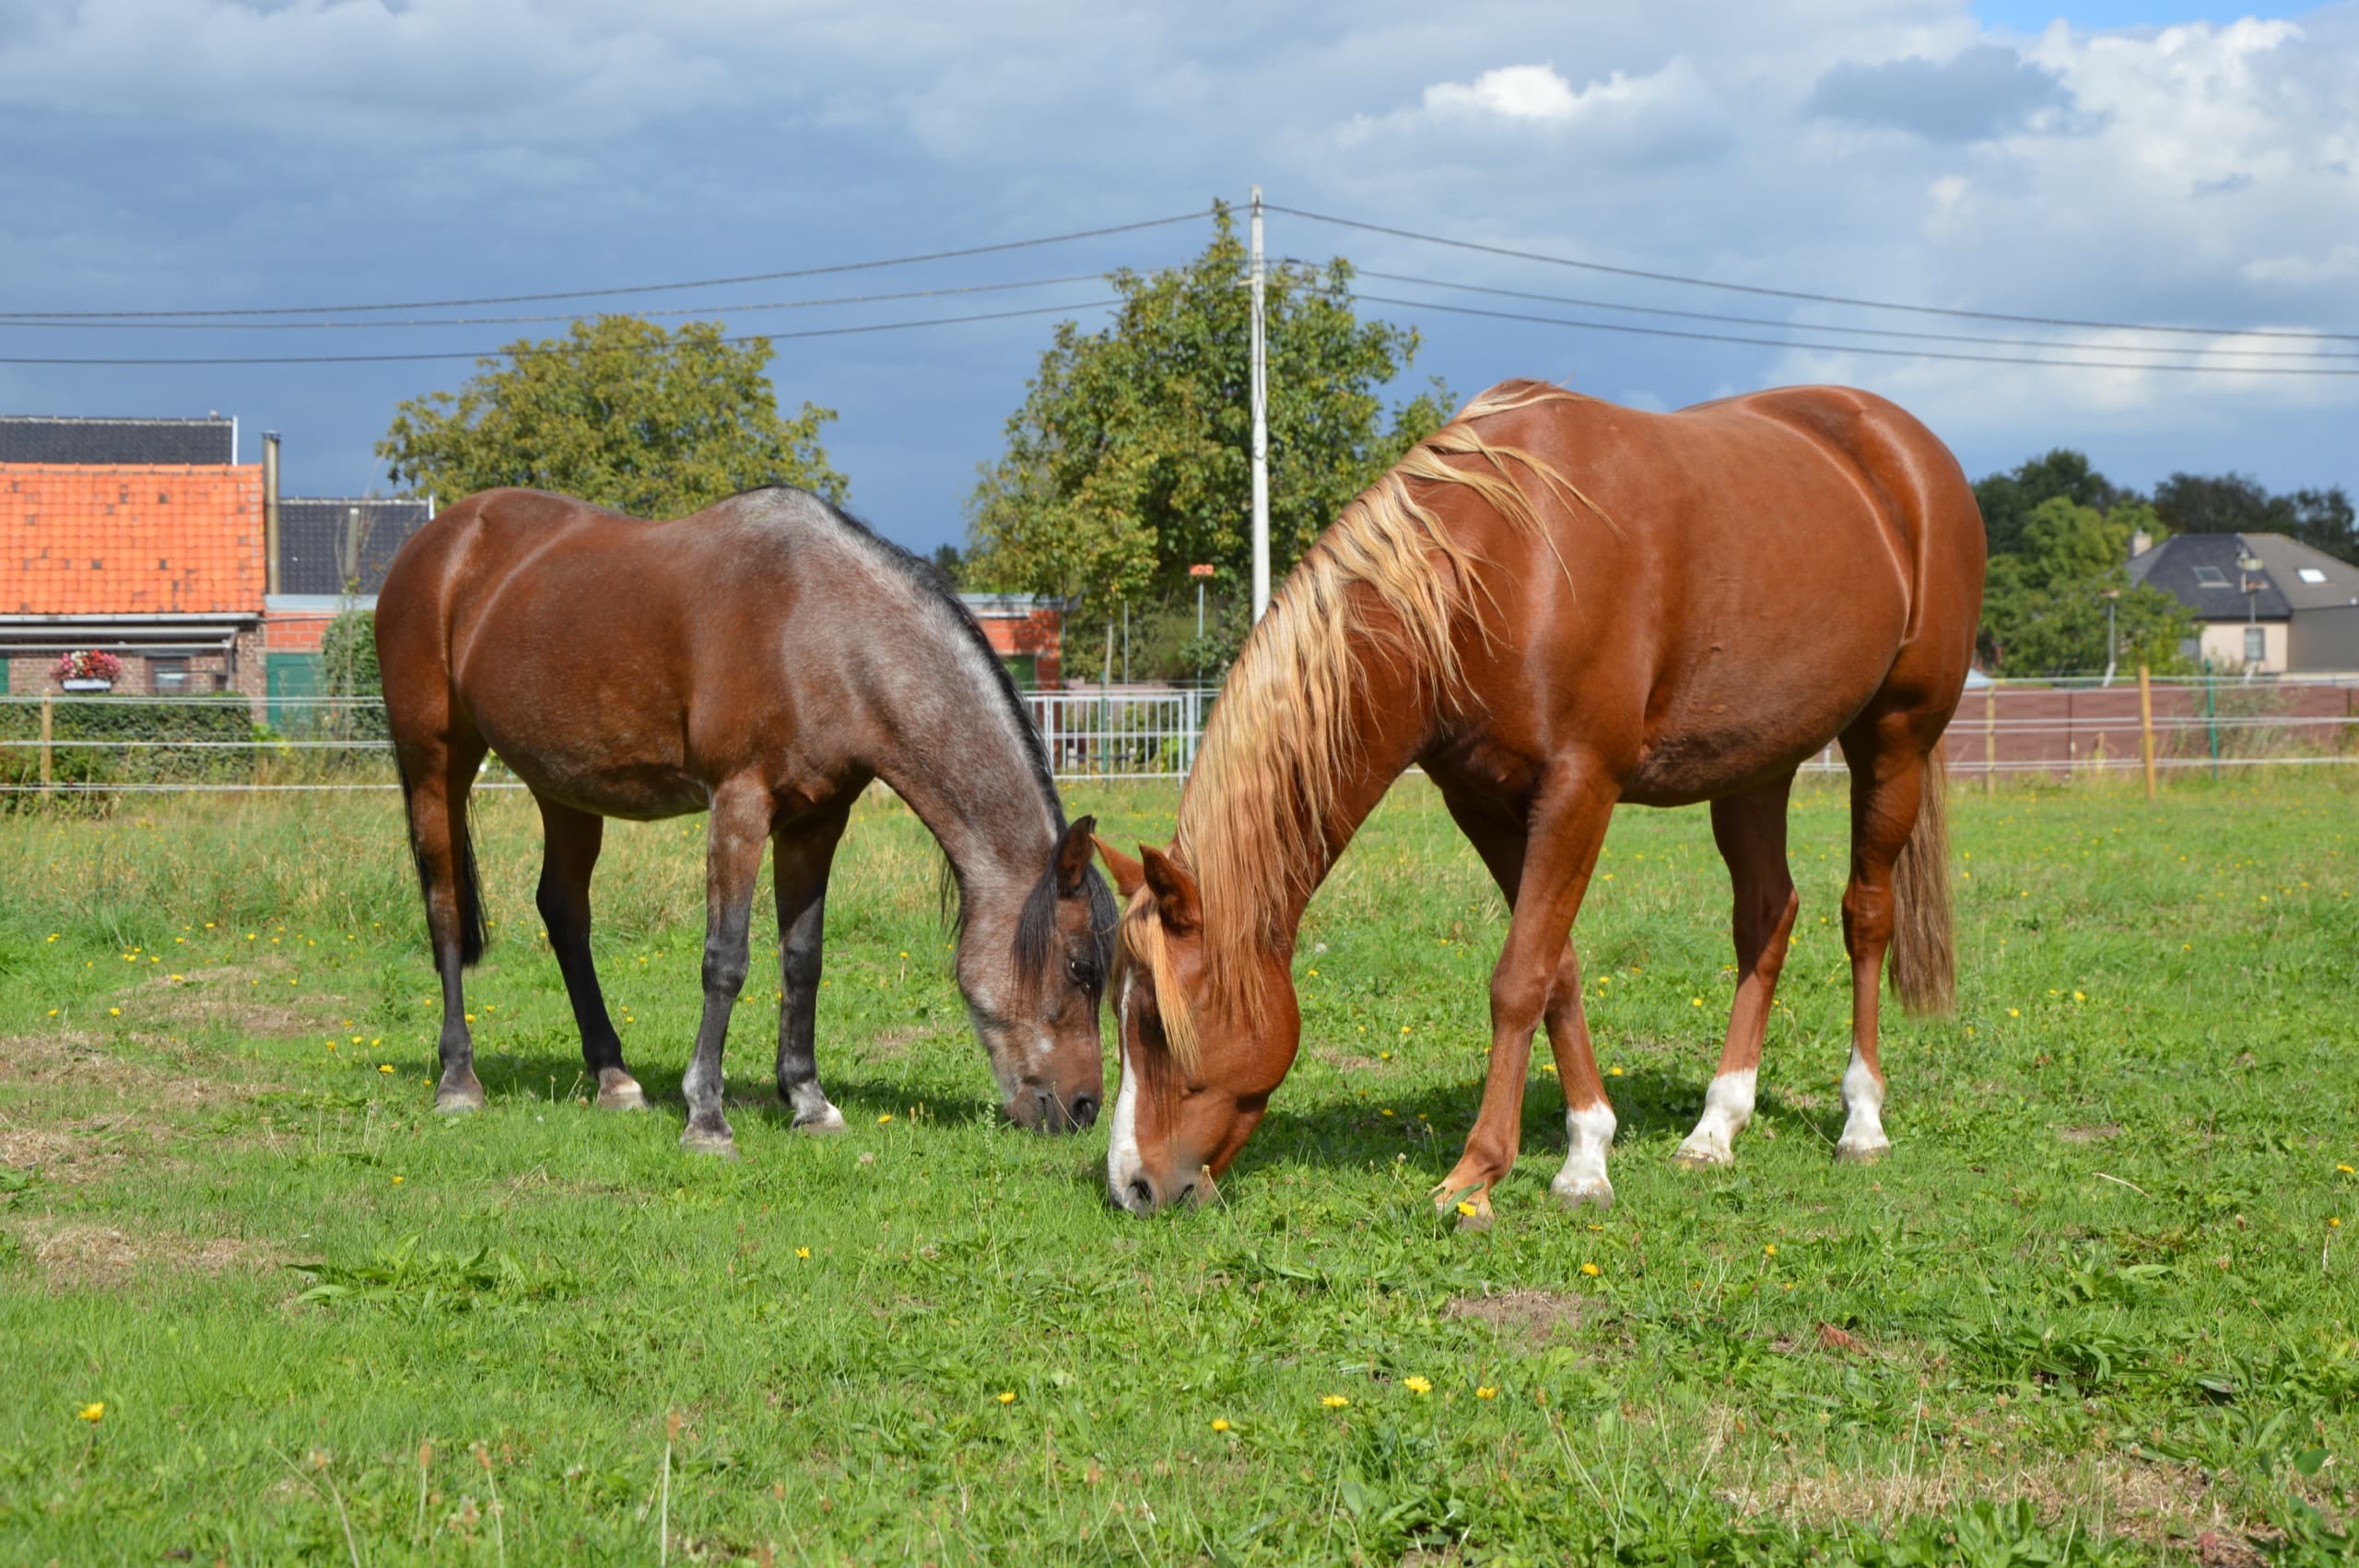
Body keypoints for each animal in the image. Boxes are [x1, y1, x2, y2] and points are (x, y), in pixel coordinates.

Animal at [374, 484, 1118, 1156]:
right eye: (1081, 967)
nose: (1084, 1108)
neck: (824, 630)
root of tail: (435, 544)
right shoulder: (739, 805)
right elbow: (726, 960)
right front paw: (706, 1116)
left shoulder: (816, 823)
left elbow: (804, 959)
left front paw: (809, 1101)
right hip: (434, 762)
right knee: (445, 909)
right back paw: (458, 1080)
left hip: (565, 788)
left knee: (563, 912)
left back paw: (614, 1077)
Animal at [1099, 380, 1984, 1220]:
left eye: (1157, 1024)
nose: (1131, 1186)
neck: (1494, 570)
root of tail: (1913, 454)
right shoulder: (1483, 801)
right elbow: (1556, 967)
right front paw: (1587, 1153)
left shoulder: (1579, 785)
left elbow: (1518, 976)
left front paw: (1479, 1175)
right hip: (1755, 767)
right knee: (1766, 918)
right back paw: (1715, 1127)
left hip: (1894, 739)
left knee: (1866, 915)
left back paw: (1862, 1120)